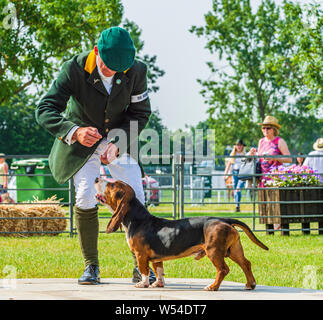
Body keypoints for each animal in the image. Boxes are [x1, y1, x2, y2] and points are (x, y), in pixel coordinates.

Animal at [96, 180, 268, 290]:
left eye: (111, 185)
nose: (97, 178)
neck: (137, 218)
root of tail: (223, 219)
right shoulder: (157, 258)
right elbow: (158, 271)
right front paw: (158, 284)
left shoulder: (140, 255)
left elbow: (144, 271)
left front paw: (143, 284)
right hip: (233, 250)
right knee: (246, 264)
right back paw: (250, 285)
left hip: (214, 251)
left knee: (223, 270)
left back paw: (212, 287)